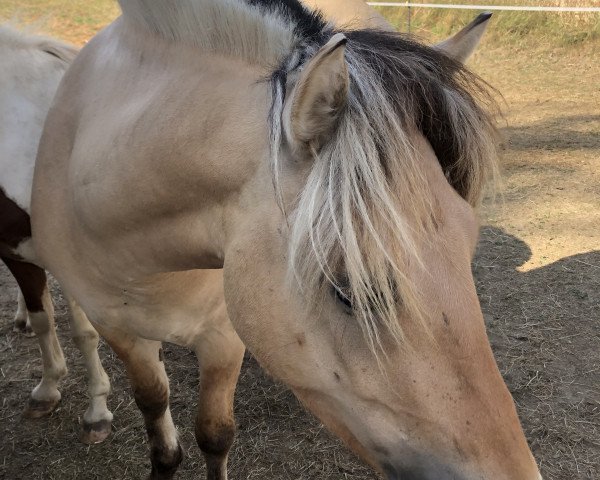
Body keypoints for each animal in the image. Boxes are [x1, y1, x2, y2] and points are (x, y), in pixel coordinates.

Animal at [30, 0, 540, 480]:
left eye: (469, 245)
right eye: (350, 292)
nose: (519, 474)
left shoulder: (222, 337)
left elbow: (214, 434)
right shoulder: (115, 326)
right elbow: (155, 410)